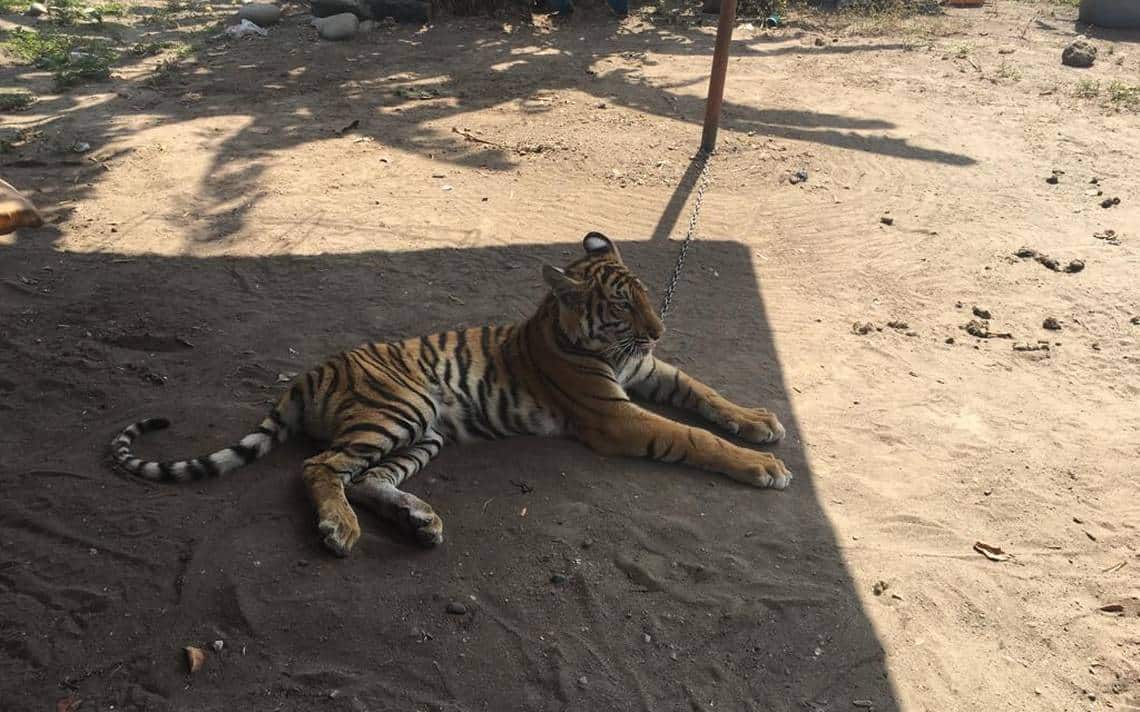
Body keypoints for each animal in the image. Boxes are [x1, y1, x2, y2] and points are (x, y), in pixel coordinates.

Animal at [110, 232, 792, 557]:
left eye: (646, 294)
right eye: (622, 306)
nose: (659, 330)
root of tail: (309, 375)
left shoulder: (648, 373)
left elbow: (706, 394)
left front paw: (760, 420)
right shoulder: (616, 416)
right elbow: (692, 434)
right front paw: (764, 466)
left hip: (425, 430)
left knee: (367, 478)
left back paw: (418, 520)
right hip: (399, 409)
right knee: (320, 466)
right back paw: (341, 529)